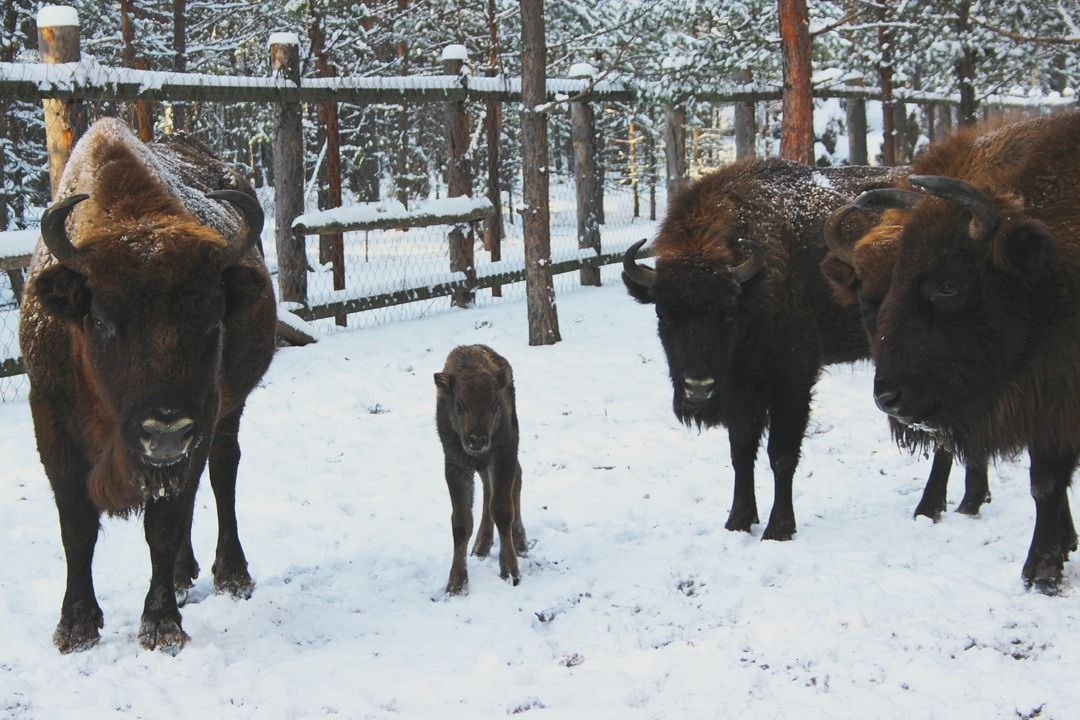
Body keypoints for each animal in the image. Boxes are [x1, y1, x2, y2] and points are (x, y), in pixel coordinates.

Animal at [19, 118, 276, 651]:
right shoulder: (49, 415)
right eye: (101, 320)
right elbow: (76, 524)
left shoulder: (203, 416)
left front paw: (161, 626)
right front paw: (75, 627)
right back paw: (183, 575)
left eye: (213, 321)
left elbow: (163, 523)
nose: (165, 430)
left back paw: (230, 574)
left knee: (221, 473)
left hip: (226, 414)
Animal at [434, 345, 527, 595]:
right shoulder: (455, 466)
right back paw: (481, 546)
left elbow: (503, 510)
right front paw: (455, 584)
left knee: (515, 482)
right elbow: (461, 522)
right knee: (488, 490)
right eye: (459, 405)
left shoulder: (504, 457)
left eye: (495, 405)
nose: (477, 440)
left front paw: (511, 572)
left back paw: (520, 542)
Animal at [626, 157, 902, 539]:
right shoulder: (742, 389)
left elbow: (781, 454)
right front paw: (738, 521)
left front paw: (779, 528)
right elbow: (741, 451)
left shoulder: (793, 379)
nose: (698, 388)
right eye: (663, 313)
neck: (753, 288)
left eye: (727, 312)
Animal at [855, 111, 1080, 591]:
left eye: (948, 285)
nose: (888, 397)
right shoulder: (1049, 403)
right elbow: (1047, 481)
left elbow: (1048, 480)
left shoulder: (1053, 398)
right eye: (896, 276)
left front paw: (1042, 570)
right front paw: (1047, 562)